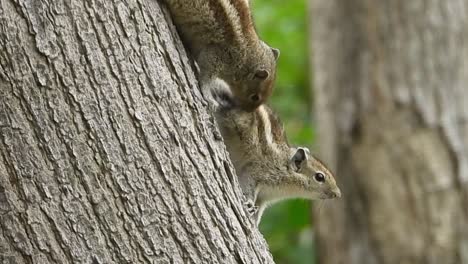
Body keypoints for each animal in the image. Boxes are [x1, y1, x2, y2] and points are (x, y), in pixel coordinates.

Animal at [211, 80, 340, 225]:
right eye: (319, 177)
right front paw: (249, 203)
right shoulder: (257, 172)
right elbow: (248, 187)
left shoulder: (264, 197)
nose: (338, 193)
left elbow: (259, 209)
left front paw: (255, 223)